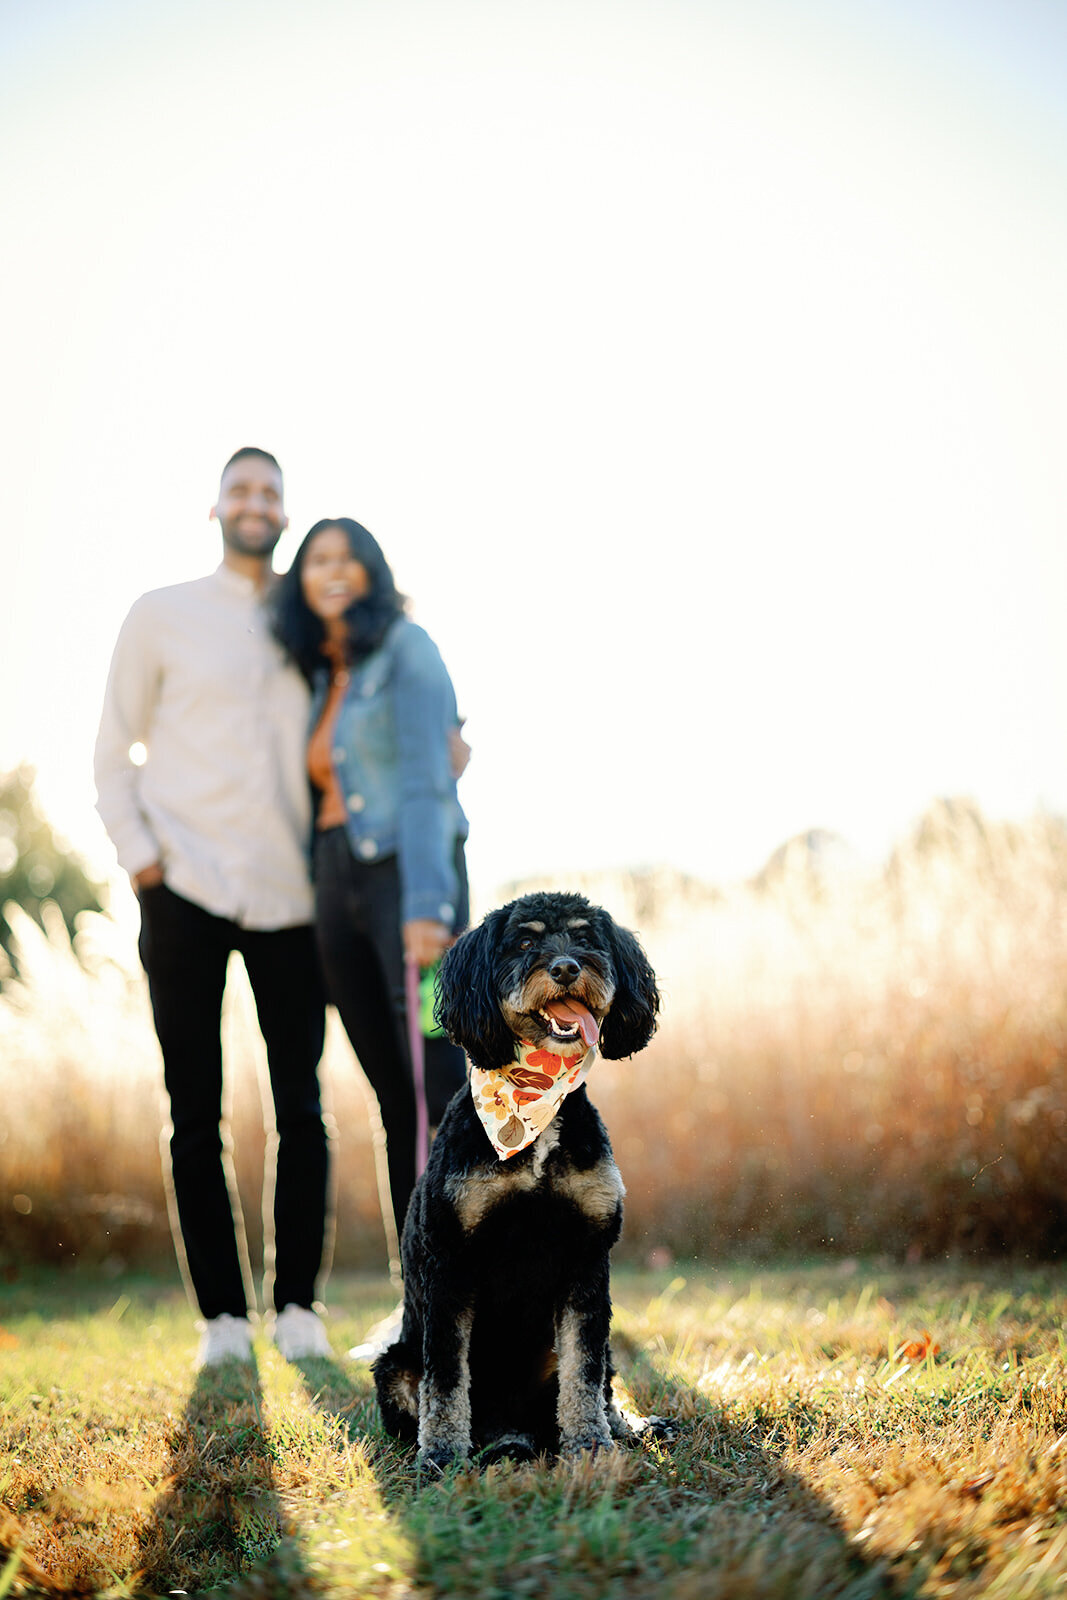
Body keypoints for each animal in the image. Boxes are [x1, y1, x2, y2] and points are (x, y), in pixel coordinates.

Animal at [374, 889, 659, 1465]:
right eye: (524, 942)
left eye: (586, 936)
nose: (567, 967)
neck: (537, 1113)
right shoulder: (450, 1263)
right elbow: (445, 1379)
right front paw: (441, 1454)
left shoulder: (587, 1258)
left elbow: (583, 1369)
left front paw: (590, 1443)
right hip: (394, 1364)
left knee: (599, 1379)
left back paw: (621, 1425)